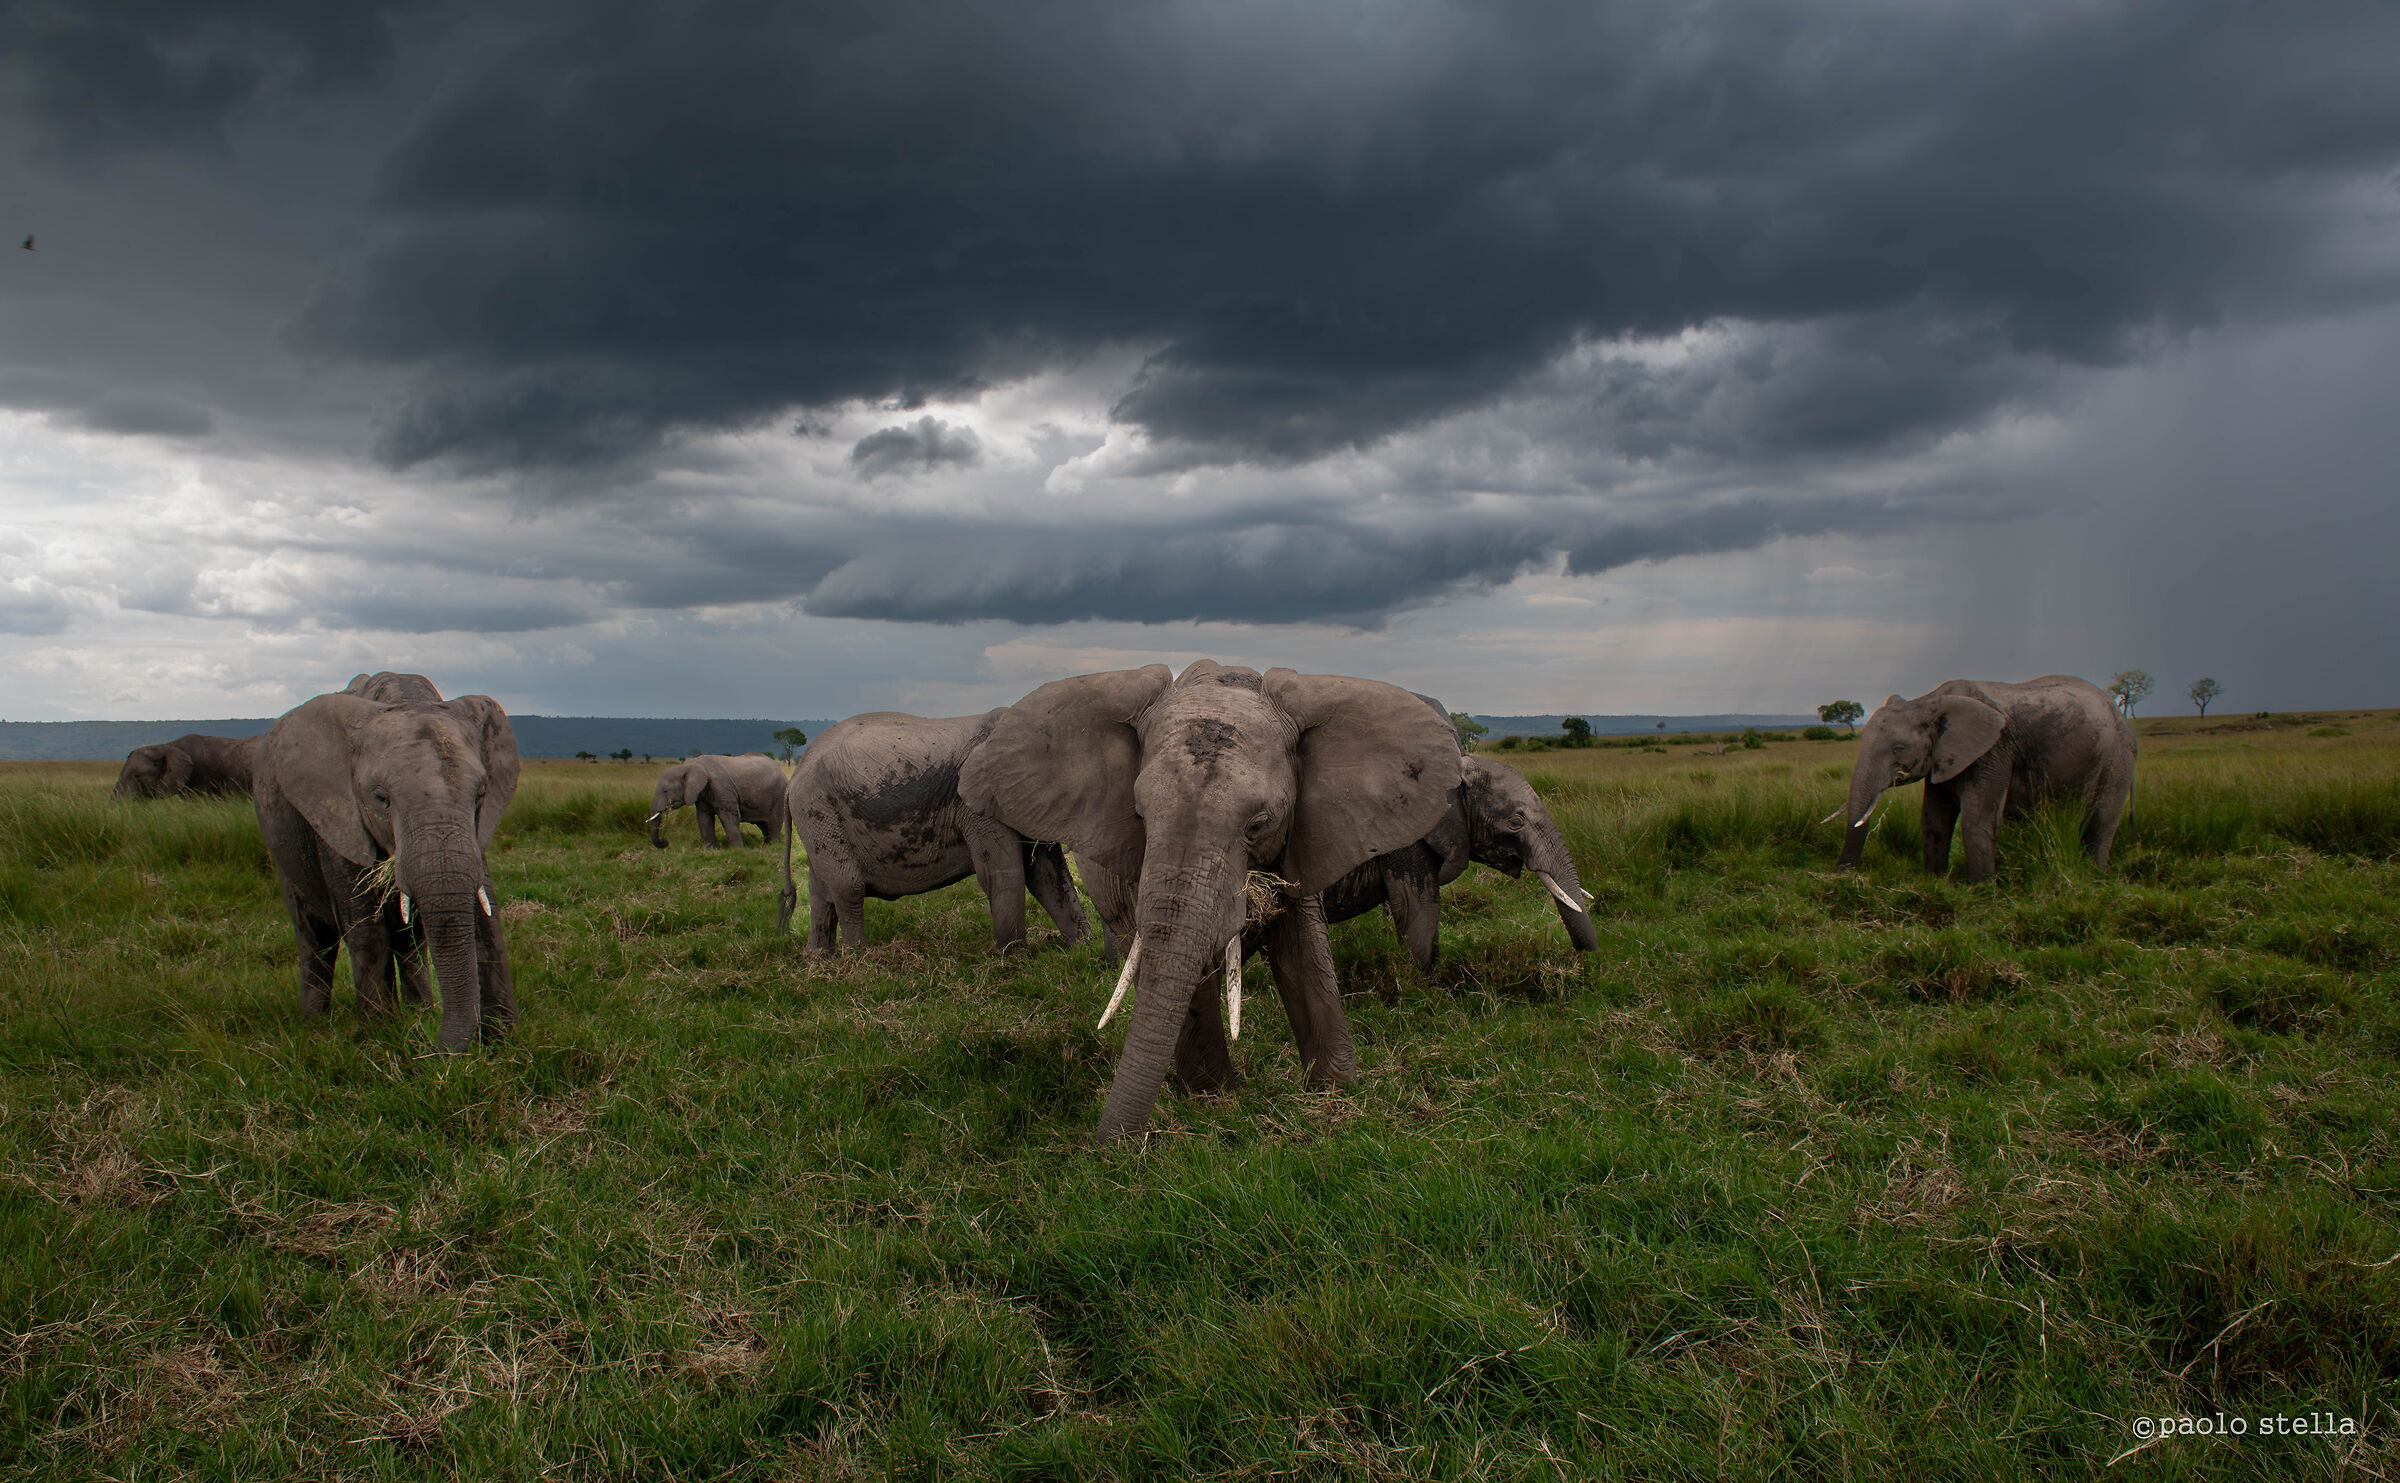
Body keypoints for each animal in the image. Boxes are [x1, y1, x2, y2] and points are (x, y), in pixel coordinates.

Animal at [252, 672, 521, 1050]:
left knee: (411, 939)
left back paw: (419, 1012)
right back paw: (316, 1025)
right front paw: (376, 1037)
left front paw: (503, 1039)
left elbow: (485, 909)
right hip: (282, 848)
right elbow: (364, 924)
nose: (434, 1049)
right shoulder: (338, 816)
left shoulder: (475, 829)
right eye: (381, 798)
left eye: (481, 794)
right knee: (314, 937)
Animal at [649, 754, 787, 849]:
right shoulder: (701, 794)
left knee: (774, 822)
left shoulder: (721, 787)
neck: (689, 766)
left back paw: (774, 846)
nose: (665, 842)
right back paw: (766, 845)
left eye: (665, 791)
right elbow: (703, 818)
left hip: (779, 794)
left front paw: (737, 850)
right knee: (763, 824)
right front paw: (710, 850)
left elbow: (729, 816)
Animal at [777, 711, 1090, 955]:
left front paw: (1085, 951)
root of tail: (793, 779)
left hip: (820, 816)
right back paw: (859, 960)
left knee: (821, 888)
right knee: (847, 885)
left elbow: (1046, 873)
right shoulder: (977, 805)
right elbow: (1003, 874)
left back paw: (819, 960)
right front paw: (1014, 961)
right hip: (817, 807)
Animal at [957, 660, 1461, 1143]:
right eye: (1139, 816)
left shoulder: (1305, 835)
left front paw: (1335, 1094)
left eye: (1258, 825)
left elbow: (1304, 953)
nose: (1107, 1149)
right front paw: (1215, 1105)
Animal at [1834, 675, 2137, 884]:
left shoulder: (1992, 751)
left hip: (2118, 759)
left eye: (1898, 749)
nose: (1840, 874)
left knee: (2102, 821)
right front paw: (1935, 882)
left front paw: (1981, 889)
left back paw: (2096, 876)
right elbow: (1934, 818)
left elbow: (1976, 819)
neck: (1928, 700)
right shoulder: (1944, 758)